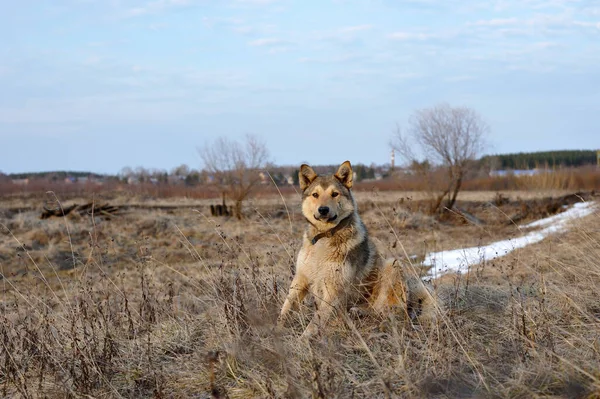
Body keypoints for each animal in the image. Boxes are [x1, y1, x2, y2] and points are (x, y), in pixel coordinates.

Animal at [276, 161, 436, 340]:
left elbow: (315, 320)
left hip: (392, 265)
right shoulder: (300, 280)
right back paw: (357, 312)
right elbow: (286, 308)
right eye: (315, 195)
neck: (325, 236)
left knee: (393, 311)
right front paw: (276, 330)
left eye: (335, 194)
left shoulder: (333, 289)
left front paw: (302, 340)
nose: (323, 210)